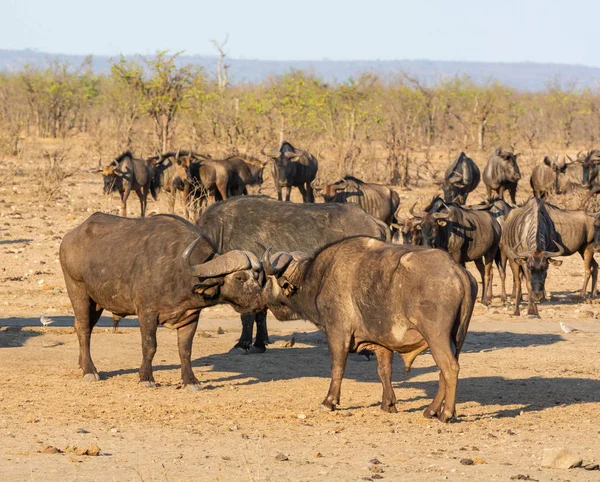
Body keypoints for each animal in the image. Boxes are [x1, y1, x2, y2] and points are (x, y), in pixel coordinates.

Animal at [60, 214, 264, 388]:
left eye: (256, 276)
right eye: (239, 278)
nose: (261, 302)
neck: (178, 271)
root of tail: (69, 237)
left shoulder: (191, 317)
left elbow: (185, 349)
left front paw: (191, 381)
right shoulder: (147, 314)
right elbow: (149, 346)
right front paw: (146, 378)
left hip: (97, 302)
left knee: (82, 327)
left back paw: (82, 364)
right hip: (78, 290)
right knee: (84, 328)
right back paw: (90, 371)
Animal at [197, 198, 392, 352]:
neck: (221, 232)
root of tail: (372, 220)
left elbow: (248, 314)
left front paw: (242, 344)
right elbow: (260, 313)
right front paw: (259, 343)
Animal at [260, 237, 476, 422]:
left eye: (268, 280)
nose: (261, 295)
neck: (320, 277)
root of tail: (457, 270)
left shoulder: (337, 333)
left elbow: (337, 367)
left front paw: (329, 402)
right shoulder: (382, 343)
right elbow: (384, 371)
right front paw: (388, 404)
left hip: (436, 337)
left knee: (449, 368)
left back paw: (445, 413)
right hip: (457, 338)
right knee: (444, 372)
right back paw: (432, 410)